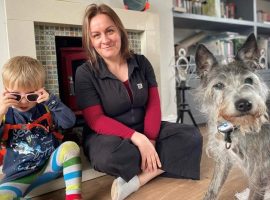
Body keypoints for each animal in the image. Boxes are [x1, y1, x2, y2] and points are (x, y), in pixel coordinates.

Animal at [195, 33, 270, 199]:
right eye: (218, 85)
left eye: (248, 80)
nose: (244, 104)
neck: (236, 127)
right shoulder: (223, 159)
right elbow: (213, 188)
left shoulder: (259, 172)